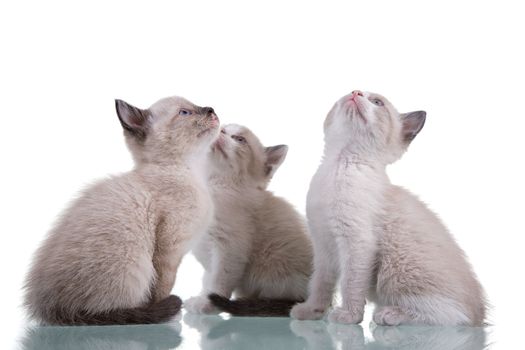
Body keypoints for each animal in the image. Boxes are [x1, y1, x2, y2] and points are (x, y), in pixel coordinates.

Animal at [22, 96, 218, 326]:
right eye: (185, 112)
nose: (211, 110)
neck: (192, 172)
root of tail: (51, 308)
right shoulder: (169, 251)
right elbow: (162, 286)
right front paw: (170, 316)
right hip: (133, 263)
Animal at [185, 123, 312, 318]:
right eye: (221, 129)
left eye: (239, 139)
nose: (221, 131)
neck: (213, 184)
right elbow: (207, 278)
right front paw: (201, 297)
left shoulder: (230, 248)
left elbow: (219, 279)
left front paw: (209, 304)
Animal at [288, 90, 486, 326]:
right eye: (353, 92)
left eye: (377, 102)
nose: (356, 93)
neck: (339, 164)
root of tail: (480, 313)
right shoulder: (322, 244)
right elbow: (320, 282)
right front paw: (312, 311)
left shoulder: (357, 242)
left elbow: (350, 282)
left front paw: (350, 316)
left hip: (396, 266)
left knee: (451, 316)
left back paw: (389, 314)